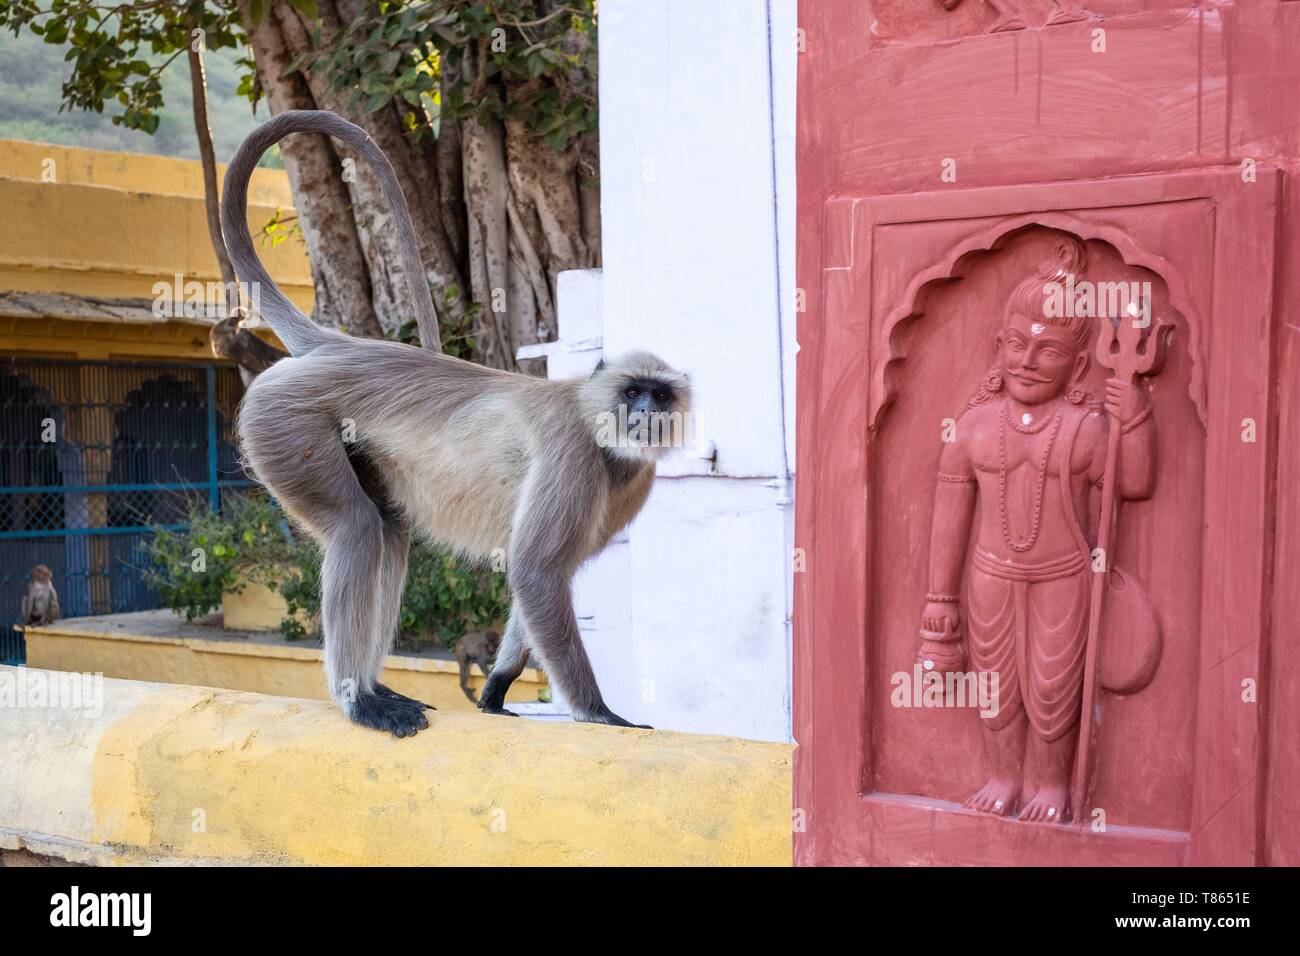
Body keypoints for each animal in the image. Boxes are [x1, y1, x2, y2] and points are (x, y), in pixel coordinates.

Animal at [220, 110, 691, 737]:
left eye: (659, 395)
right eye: (632, 391)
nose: (644, 413)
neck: (597, 427)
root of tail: (339, 347)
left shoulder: (631, 481)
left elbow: (542, 575)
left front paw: (496, 686)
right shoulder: (571, 448)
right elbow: (536, 571)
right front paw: (598, 712)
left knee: (388, 532)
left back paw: (374, 686)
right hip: (283, 419)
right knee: (355, 527)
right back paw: (357, 700)